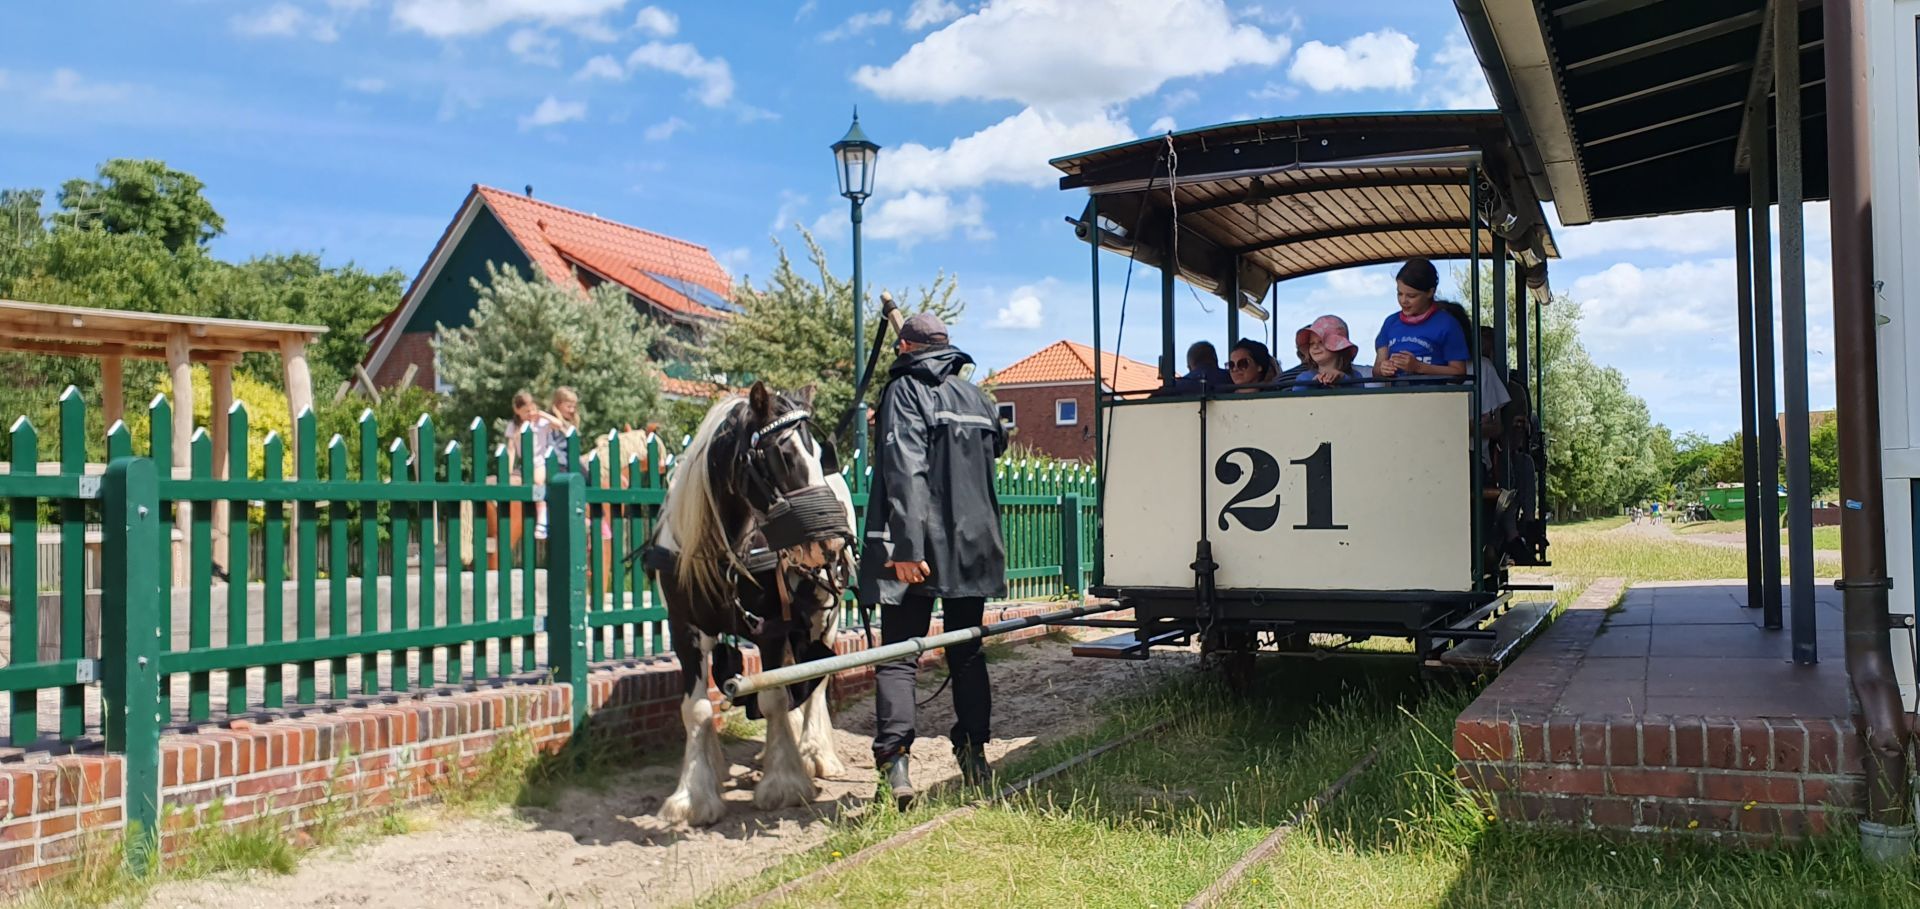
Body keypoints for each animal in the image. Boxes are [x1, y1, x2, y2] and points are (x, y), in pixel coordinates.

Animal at [645, 382, 856, 822]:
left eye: (821, 455)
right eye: (783, 455)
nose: (832, 540)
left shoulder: (772, 627)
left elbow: (773, 696)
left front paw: (784, 783)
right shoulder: (684, 630)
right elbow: (696, 708)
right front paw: (694, 794)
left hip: (824, 615)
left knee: (817, 677)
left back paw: (814, 752)